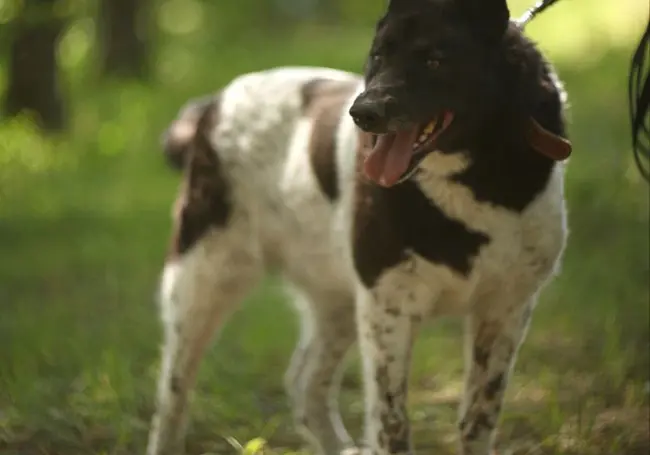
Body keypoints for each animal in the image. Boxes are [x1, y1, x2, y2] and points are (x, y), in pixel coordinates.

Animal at [146, 0, 568, 455]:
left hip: (339, 301)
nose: (363, 114)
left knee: (305, 383)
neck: (473, 178)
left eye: (434, 59)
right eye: (378, 56)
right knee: (173, 394)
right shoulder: (389, 310)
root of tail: (214, 103)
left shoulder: (506, 308)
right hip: (201, 281)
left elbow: (479, 418)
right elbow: (392, 423)